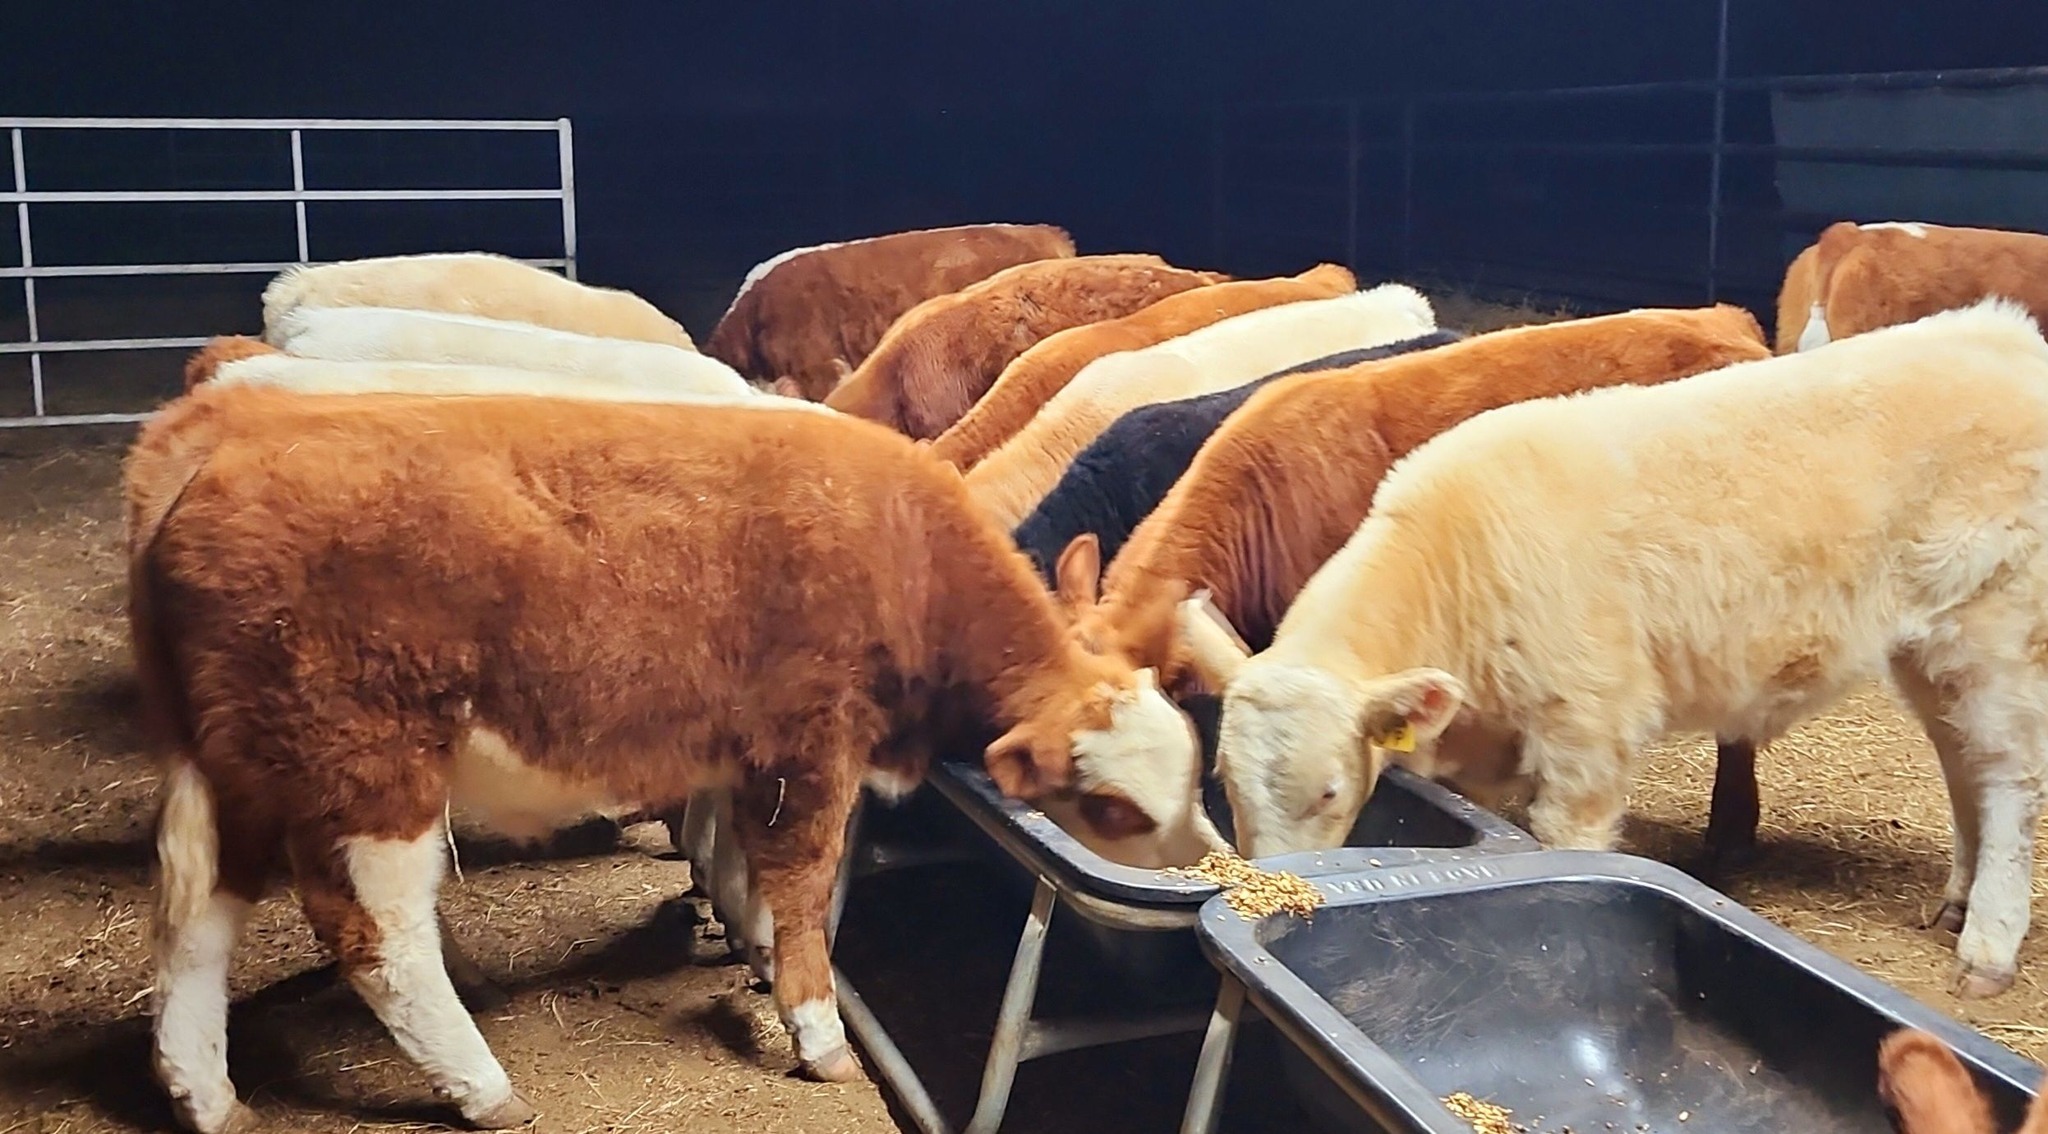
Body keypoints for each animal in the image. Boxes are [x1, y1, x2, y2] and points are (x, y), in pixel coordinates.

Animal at [1182, 300, 2048, 1000]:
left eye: (1330, 792)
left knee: (2009, 777)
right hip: (1930, 644)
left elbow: (1567, 852)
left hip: (2002, 623)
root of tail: (2004, 331)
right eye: (1223, 780)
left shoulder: (1586, 736)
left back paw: (1987, 944)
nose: (1269, 888)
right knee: (1962, 761)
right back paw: (1956, 900)